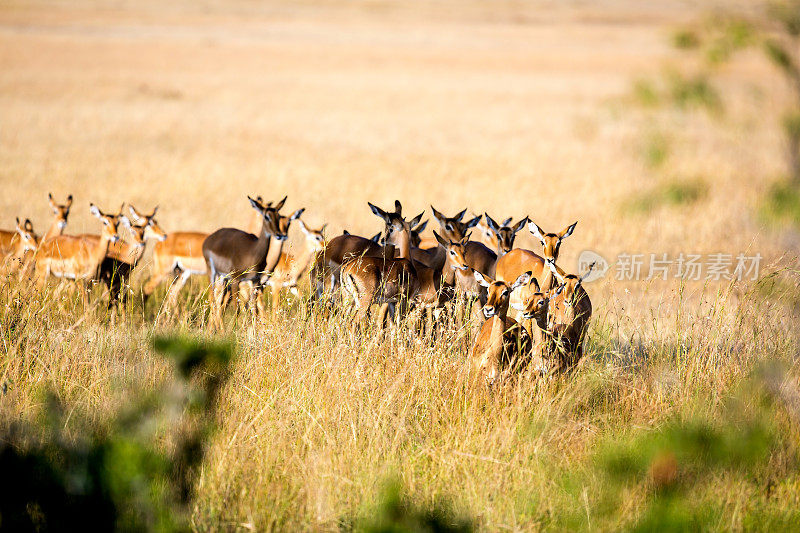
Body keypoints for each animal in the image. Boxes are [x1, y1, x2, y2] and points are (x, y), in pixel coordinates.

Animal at [202, 195, 302, 328]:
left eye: (278, 216)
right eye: (266, 216)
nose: (279, 234)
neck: (252, 252)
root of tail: (210, 238)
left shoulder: (255, 281)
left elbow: (254, 310)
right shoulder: (237, 281)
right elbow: (238, 309)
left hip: (224, 279)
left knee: (219, 304)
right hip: (213, 274)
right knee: (213, 300)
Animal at [340, 202, 418, 330]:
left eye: (390, 229)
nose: (383, 240)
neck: (406, 260)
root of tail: (347, 268)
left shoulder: (391, 302)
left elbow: (393, 326)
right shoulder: (405, 300)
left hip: (349, 299)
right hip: (364, 302)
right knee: (353, 323)